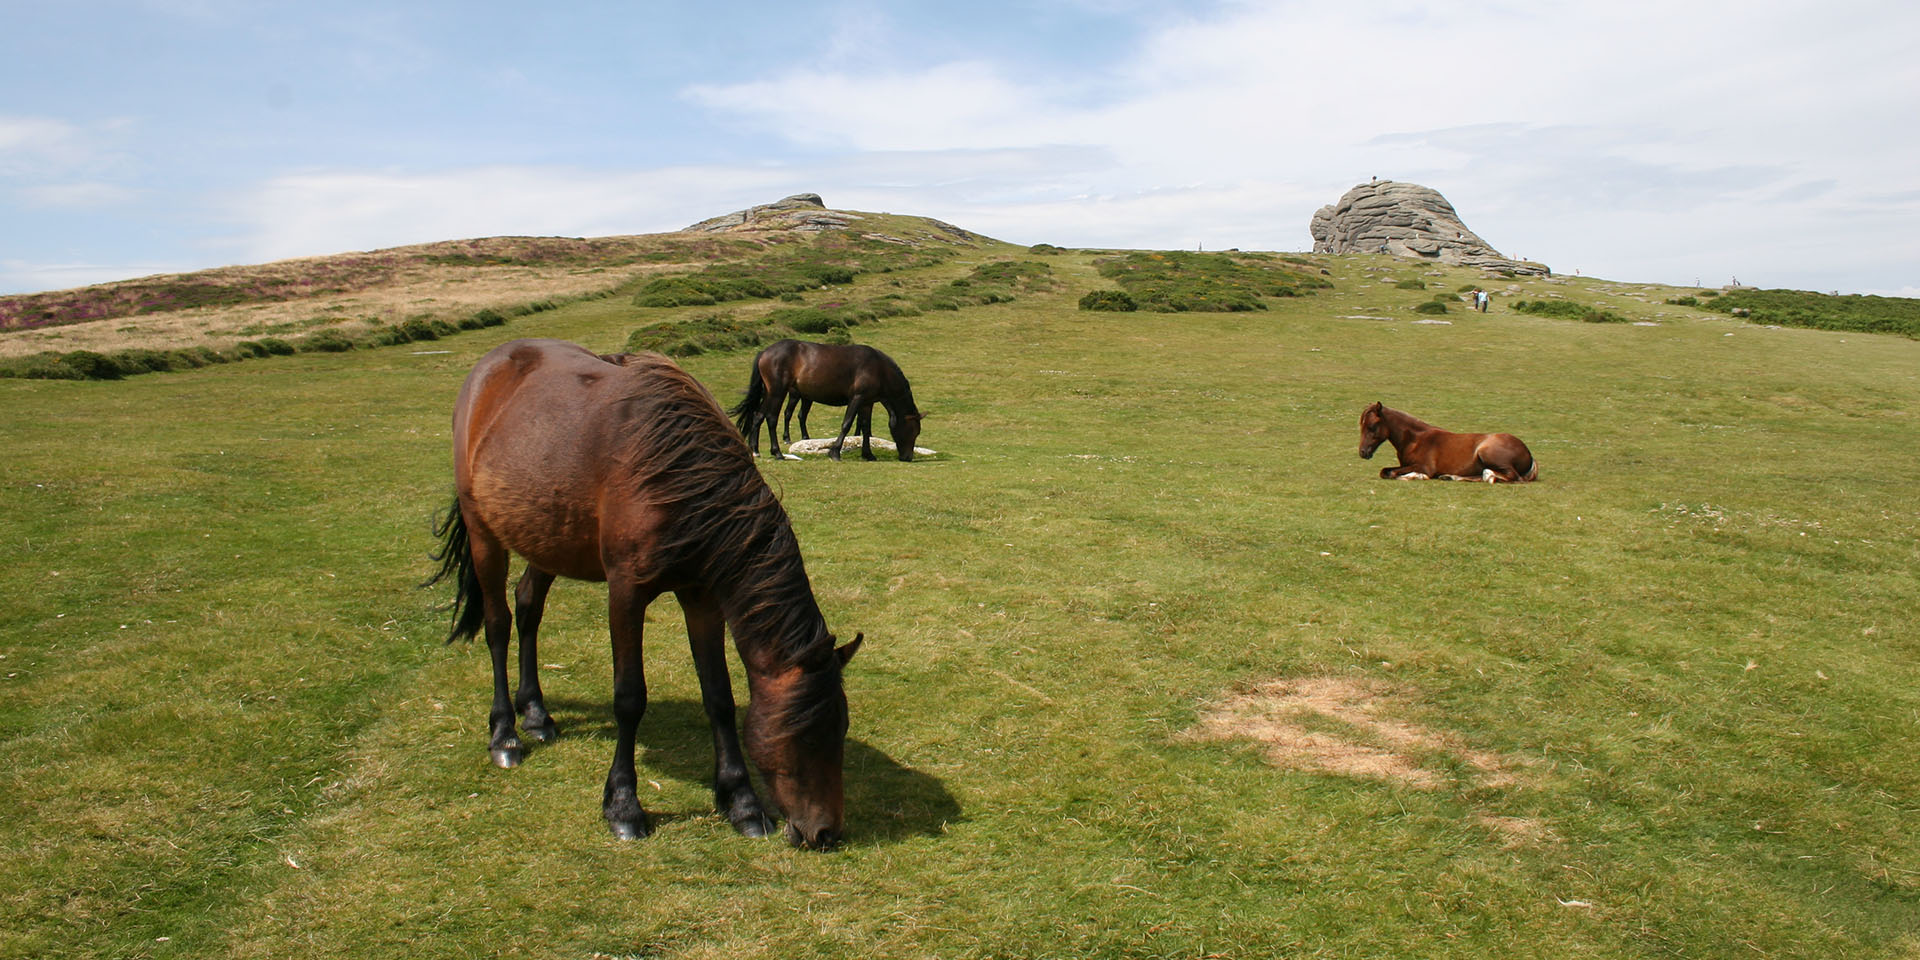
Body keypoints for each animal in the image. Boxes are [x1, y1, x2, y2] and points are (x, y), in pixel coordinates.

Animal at [432, 339, 867, 848]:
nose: (825, 832)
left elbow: (719, 697)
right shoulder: (626, 594)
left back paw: (536, 714)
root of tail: (490, 367)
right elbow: (629, 698)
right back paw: (505, 734)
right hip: (484, 533)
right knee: (498, 625)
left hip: (547, 536)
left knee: (527, 607)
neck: (678, 477)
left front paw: (741, 802)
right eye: (807, 736)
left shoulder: (702, 597)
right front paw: (623, 805)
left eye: (842, 729)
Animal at [725, 339, 921, 462]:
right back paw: (778, 452)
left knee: (758, 416)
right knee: (771, 418)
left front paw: (868, 454)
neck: (879, 369)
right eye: (913, 431)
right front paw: (835, 452)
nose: (908, 457)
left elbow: (865, 428)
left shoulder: (867, 403)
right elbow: (847, 424)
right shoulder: (857, 398)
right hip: (778, 392)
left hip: (769, 393)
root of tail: (765, 352)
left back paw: (755, 450)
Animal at [1359, 401, 1536, 483]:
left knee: (1513, 477)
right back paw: (1451, 477)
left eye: (1372, 426)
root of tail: (1529, 454)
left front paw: (1414, 476)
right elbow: (1385, 471)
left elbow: (1393, 473)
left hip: (1487, 453)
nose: (1362, 452)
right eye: (1361, 425)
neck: (1415, 439)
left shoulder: (1425, 467)